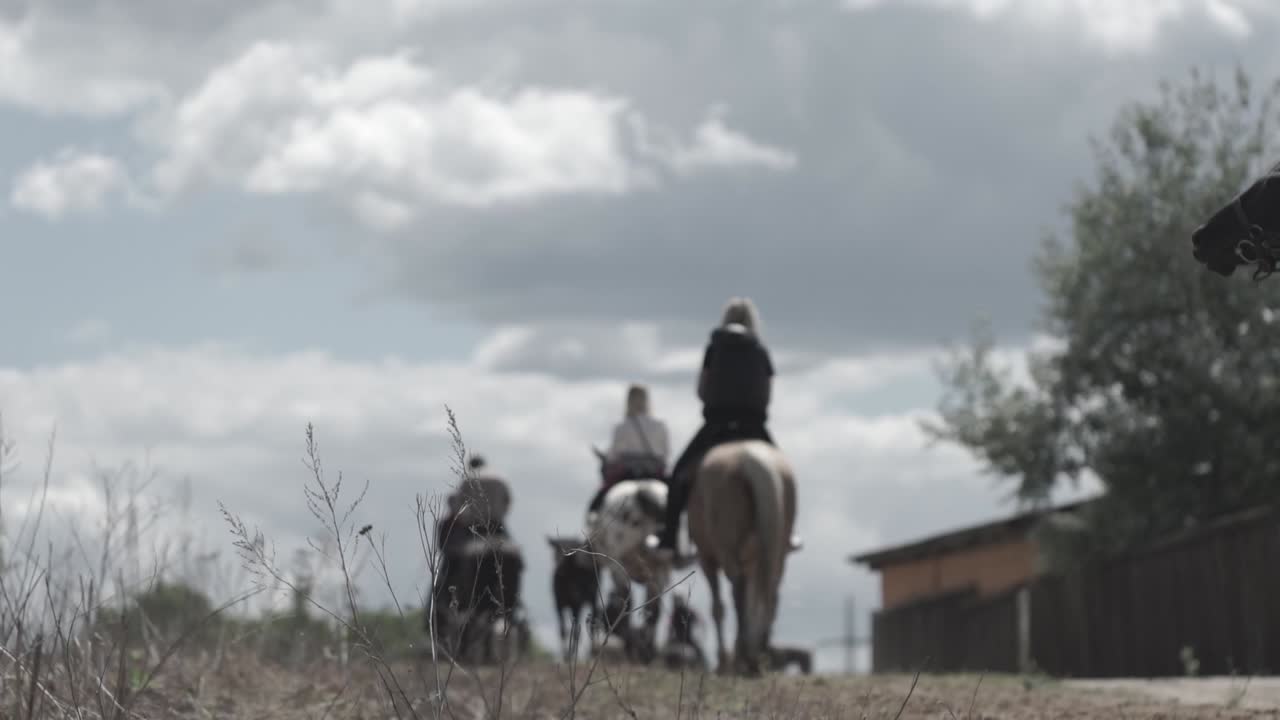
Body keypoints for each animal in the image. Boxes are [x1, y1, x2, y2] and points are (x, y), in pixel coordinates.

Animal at [584, 446, 675, 663]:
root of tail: (641, 489)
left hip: (617, 563)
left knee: (626, 599)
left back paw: (631, 645)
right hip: (660, 569)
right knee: (654, 608)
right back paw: (645, 651)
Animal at [686, 439, 797, 676]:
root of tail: (753, 459)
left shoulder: (707, 558)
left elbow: (718, 607)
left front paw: (723, 660)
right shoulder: (753, 561)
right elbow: (753, 601)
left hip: (726, 548)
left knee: (737, 592)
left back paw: (742, 658)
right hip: (777, 548)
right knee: (770, 592)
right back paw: (754, 655)